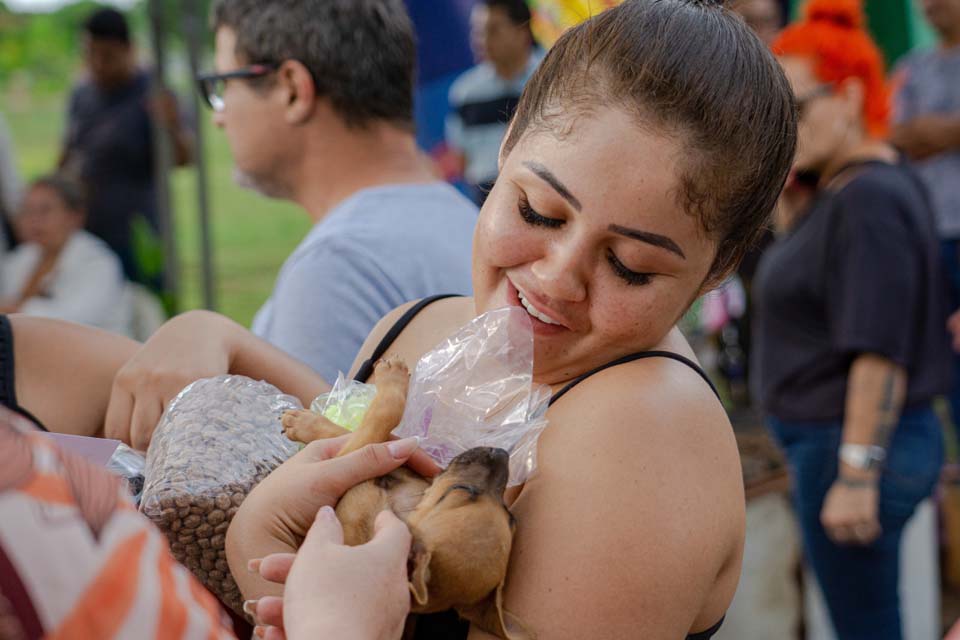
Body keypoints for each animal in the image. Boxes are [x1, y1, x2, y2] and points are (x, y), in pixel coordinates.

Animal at [282, 358, 528, 636]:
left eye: (460, 489)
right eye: (511, 516)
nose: (502, 453)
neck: (402, 506)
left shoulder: (352, 463)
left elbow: (377, 421)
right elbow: (355, 434)